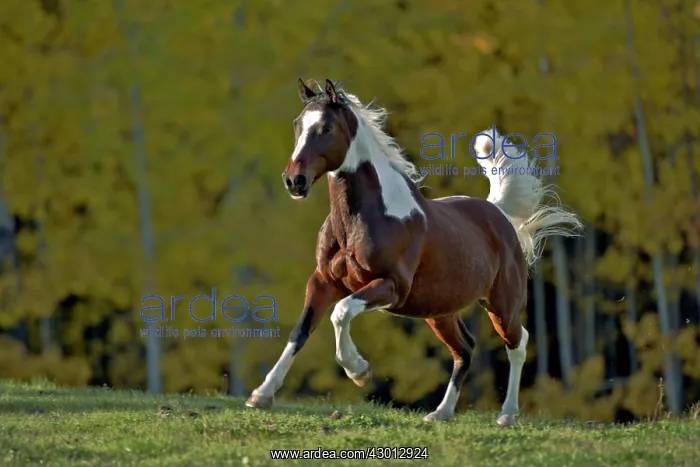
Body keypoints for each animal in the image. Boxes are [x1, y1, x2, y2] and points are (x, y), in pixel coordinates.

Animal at [246, 78, 582, 424]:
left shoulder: (392, 287)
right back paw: (441, 413)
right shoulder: (324, 281)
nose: (294, 181)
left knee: (518, 343)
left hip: (502, 304)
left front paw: (359, 371)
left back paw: (507, 415)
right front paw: (261, 395)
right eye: (298, 124)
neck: (363, 219)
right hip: (440, 311)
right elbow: (300, 331)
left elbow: (341, 312)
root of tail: (498, 212)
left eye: (326, 127)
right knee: (465, 348)